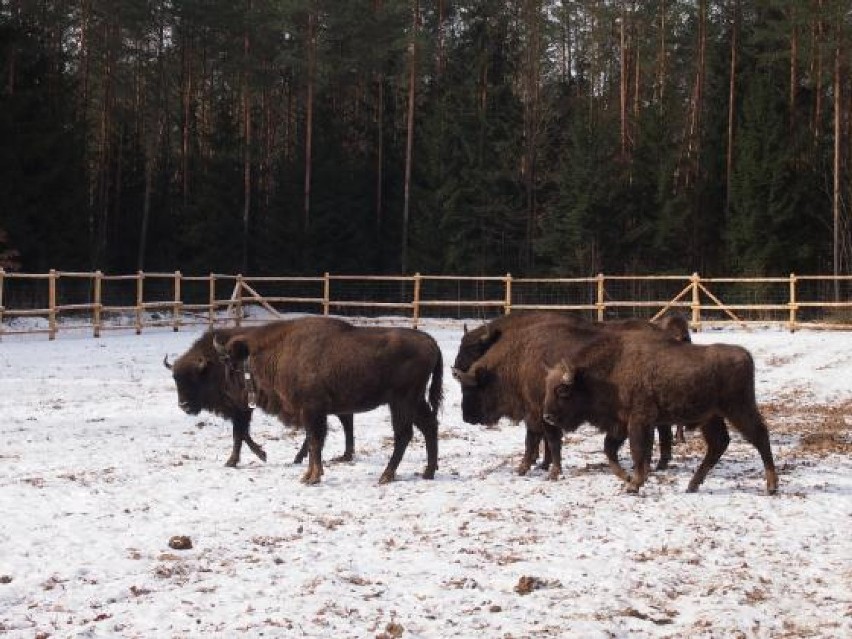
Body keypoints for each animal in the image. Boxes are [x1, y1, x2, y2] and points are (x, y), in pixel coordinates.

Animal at [166, 328, 356, 468]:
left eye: (194, 378)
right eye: (175, 379)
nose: (183, 405)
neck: (213, 366)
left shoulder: (241, 408)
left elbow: (239, 433)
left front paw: (234, 461)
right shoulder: (240, 410)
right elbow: (242, 433)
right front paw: (260, 455)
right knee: (344, 421)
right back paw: (340, 455)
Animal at [220, 318, 442, 488]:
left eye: (233, 367)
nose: (230, 395)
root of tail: (431, 342)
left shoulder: (313, 410)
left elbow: (315, 442)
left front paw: (312, 478)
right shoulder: (311, 413)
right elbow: (313, 442)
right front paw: (308, 475)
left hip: (401, 401)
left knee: (404, 434)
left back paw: (386, 475)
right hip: (414, 401)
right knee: (429, 426)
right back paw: (428, 472)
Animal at [452, 310, 692, 476]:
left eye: (472, 387)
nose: (467, 417)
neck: (519, 360)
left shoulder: (539, 412)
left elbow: (541, 440)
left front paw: (536, 468)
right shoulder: (540, 413)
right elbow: (542, 441)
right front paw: (541, 465)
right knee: (662, 429)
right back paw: (657, 464)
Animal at [544, 330, 780, 496]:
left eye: (562, 391)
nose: (547, 417)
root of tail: (745, 356)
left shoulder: (639, 421)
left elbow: (638, 452)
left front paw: (634, 484)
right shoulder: (621, 424)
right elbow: (610, 450)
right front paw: (627, 479)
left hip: (738, 408)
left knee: (759, 435)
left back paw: (772, 486)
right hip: (711, 417)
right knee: (719, 443)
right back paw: (692, 484)